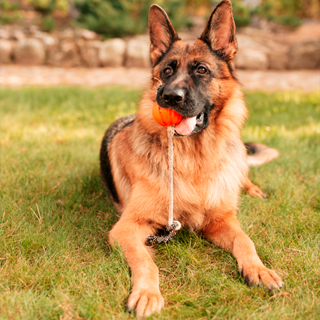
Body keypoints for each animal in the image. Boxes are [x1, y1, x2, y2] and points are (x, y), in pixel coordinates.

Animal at [100, 0, 282, 316]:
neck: (194, 159)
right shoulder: (127, 228)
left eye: (201, 70)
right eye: (167, 71)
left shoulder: (222, 220)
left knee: (242, 171)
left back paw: (252, 188)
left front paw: (259, 269)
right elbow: (145, 261)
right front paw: (146, 293)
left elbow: (245, 240)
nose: (170, 97)